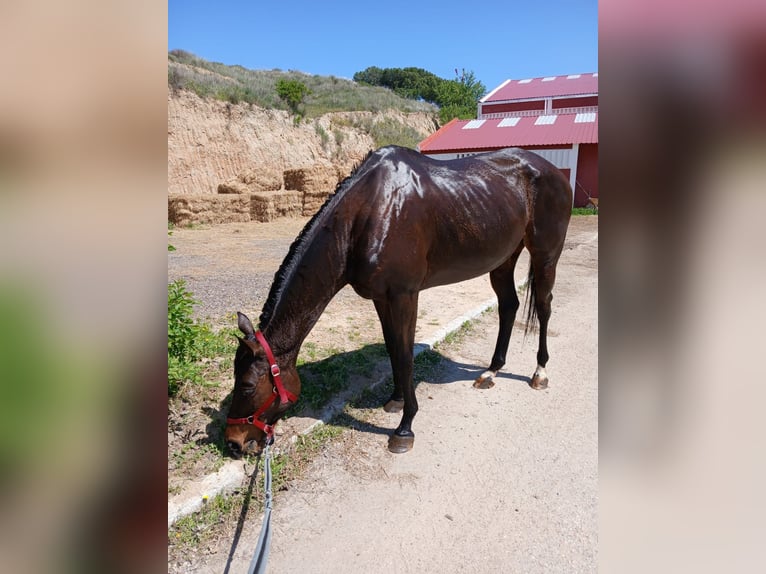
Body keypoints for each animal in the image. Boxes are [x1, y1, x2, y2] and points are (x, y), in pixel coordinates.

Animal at [224, 145, 572, 456]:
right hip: (503, 260)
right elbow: (392, 348)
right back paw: (491, 372)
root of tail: (555, 172)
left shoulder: (405, 295)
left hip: (545, 257)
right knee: (509, 306)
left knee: (544, 307)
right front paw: (395, 400)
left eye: (247, 385)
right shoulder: (381, 298)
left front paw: (405, 428)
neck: (370, 213)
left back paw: (539, 373)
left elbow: (405, 356)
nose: (233, 443)